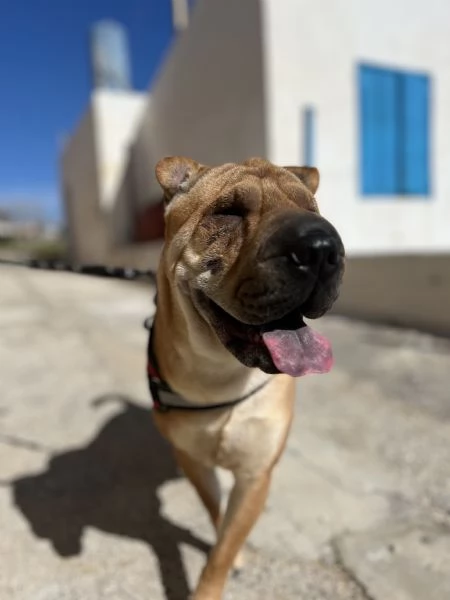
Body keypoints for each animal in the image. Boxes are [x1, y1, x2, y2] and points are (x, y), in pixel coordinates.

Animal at [150, 156, 345, 599]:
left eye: (313, 208)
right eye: (229, 212)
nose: (322, 247)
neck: (221, 372)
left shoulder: (256, 476)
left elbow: (223, 547)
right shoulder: (193, 460)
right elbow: (216, 513)